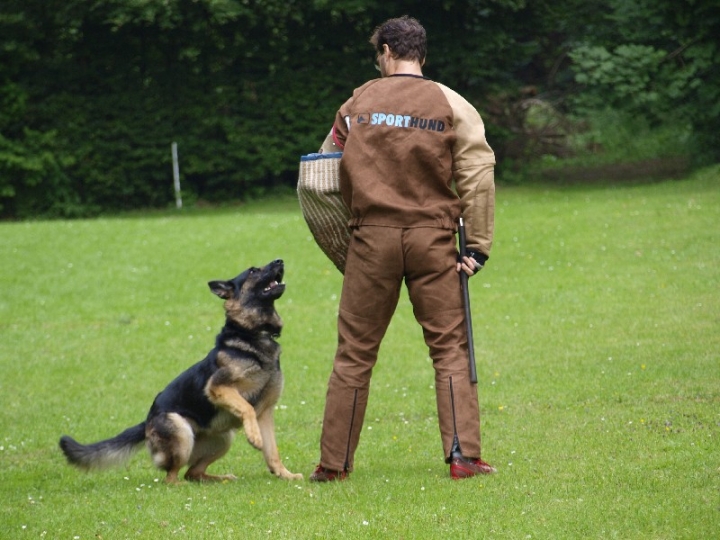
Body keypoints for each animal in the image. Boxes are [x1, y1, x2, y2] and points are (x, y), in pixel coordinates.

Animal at [58, 260, 300, 484]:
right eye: (252, 271)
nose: (280, 260)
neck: (254, 334)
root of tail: (146, 422)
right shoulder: (218, 388)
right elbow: (246, 407)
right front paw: (254, 437)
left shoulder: (265, 412)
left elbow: (272, 451)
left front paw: (284, 474)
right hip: (181, 430)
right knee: (172, 477)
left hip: (224, 438)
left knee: (193, 473)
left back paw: (220, 479)